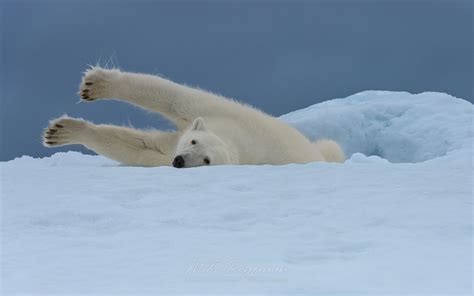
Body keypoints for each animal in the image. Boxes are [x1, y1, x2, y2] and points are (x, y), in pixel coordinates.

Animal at [42, 67, 344, 169]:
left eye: (207, 160)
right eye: (194, 141)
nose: (179, 161)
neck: (237, 140)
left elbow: (144, 149)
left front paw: (61, 131)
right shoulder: (220, 113)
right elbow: (172, 97)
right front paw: (95, 86)